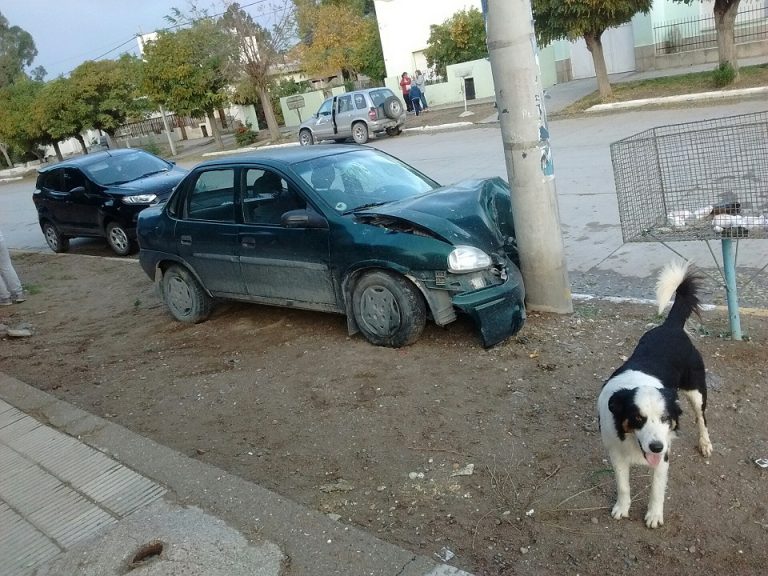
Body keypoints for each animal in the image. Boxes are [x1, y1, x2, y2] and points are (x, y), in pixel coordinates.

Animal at [596, 260, 712, 528]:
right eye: (637, 418)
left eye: (665, 418)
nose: (656, 447)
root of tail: (670, 327)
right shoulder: (616, 453)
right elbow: (623, 485)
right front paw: (622, 508)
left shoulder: (664, 455)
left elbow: (657, 489)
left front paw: (654, 515)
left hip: (696, 391)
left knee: (702, 418)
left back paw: (705, 443)